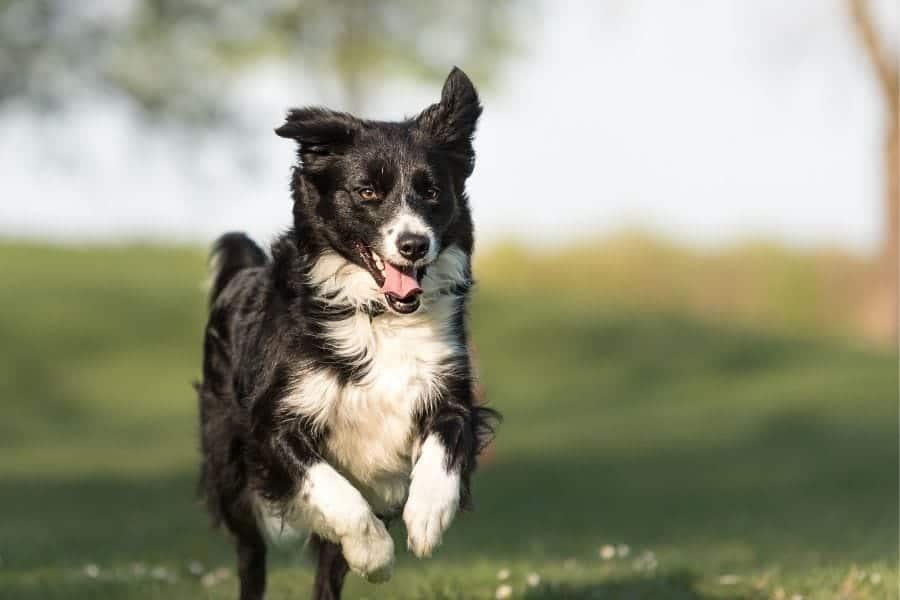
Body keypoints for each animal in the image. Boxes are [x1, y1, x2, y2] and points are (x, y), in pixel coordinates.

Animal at [196, 67, 500, 600]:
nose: (414, 244)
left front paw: (426, 517)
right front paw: (374, 554)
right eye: (367, 192)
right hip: (228, 467)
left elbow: (446, 445)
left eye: (432, 191)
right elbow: (334, 493)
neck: (378, 315)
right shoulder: (272, 425)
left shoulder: (449, 390)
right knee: (251, 556)